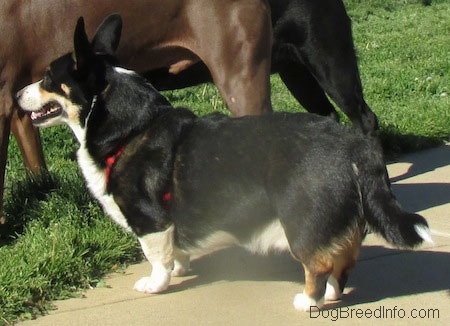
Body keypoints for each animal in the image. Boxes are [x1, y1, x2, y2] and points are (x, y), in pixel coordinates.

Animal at [18, 16, 432, 312]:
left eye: (48, 78)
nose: (18, 94)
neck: (130, 125)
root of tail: (353, 145)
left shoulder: (150, 219)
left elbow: (155, 257)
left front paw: (156, 284)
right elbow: (175, 250)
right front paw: (181, 267)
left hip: (302, 221)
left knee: (318, 263)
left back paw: (307, 301)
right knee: (342, 261)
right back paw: (331, 295)